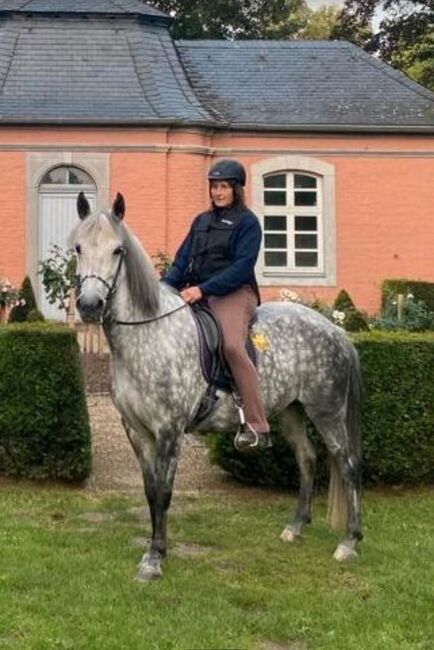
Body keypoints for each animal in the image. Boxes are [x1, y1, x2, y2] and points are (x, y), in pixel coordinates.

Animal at [71, 194, 362, 584]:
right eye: (78, 248)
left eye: (118, 250)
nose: (89, 306)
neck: (148, 335)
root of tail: (336, 330)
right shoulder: (135, 429)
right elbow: (149, 491)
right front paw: (153, 549)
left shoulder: (169, 430)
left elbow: (164, 492)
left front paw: (155, 558)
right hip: (291, 412)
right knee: (307, 458)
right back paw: (295, 527)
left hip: (327, 412)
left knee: (347, 465)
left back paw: (349, 542)